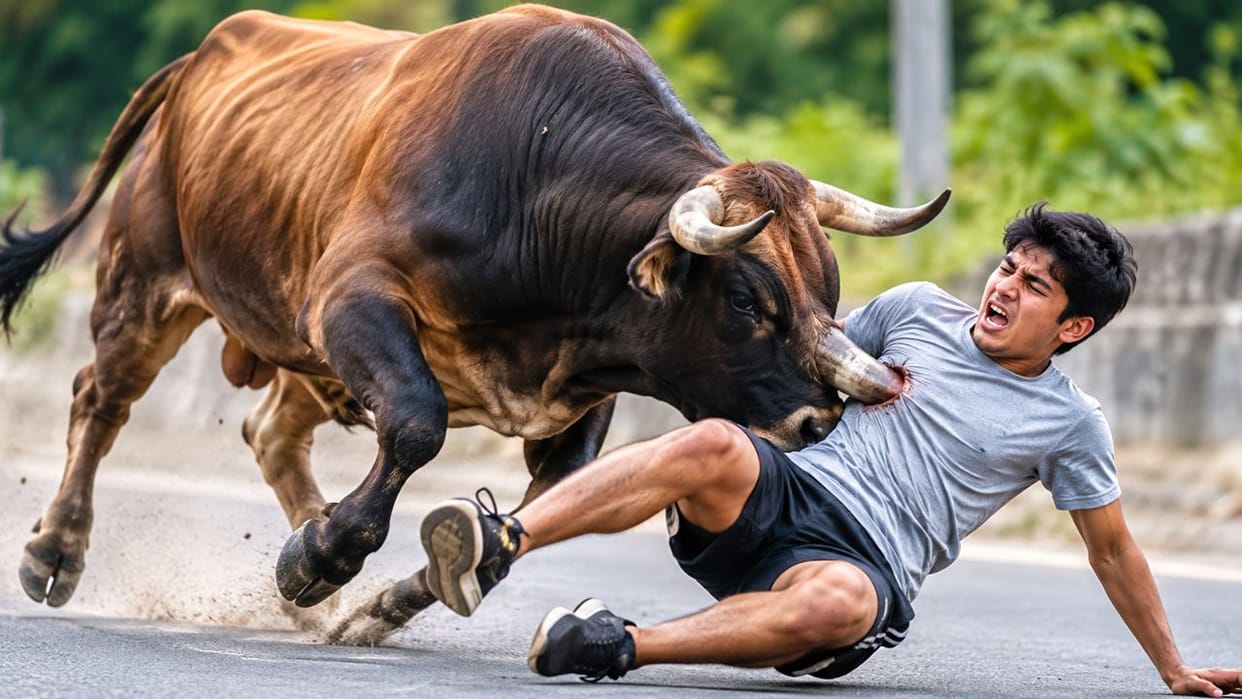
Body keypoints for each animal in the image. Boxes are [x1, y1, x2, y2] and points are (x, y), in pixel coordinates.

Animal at [0, 4, 947, 617]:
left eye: (831, 285)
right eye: (751, 299)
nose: (820, 418)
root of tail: (206, 53)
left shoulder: (579, 390)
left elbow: (540, 502)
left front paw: (367, 586)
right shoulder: (350, 296)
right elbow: (417, 424)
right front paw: (324, 558)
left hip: (300, 356)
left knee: (268, 432)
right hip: (144, 286)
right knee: (100, 401)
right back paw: (57, 552)